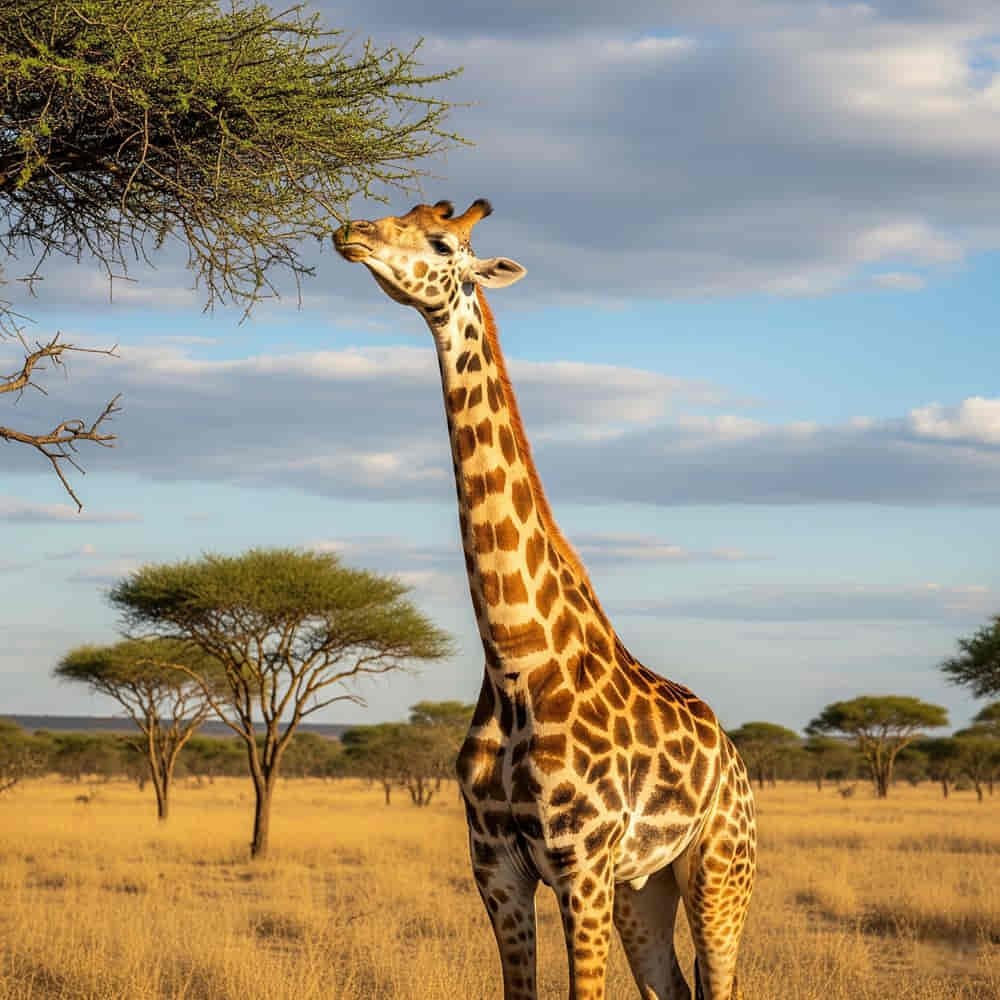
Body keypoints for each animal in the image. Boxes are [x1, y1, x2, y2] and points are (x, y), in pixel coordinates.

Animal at [333, 199, 756, 1000]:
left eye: (441, 242)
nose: (351, 233)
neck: (516, 662)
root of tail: (733, 753)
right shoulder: (495, 867)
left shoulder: (579, 866)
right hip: (642, 885)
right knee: (671, 986)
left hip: (720, 868)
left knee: (720, 980)